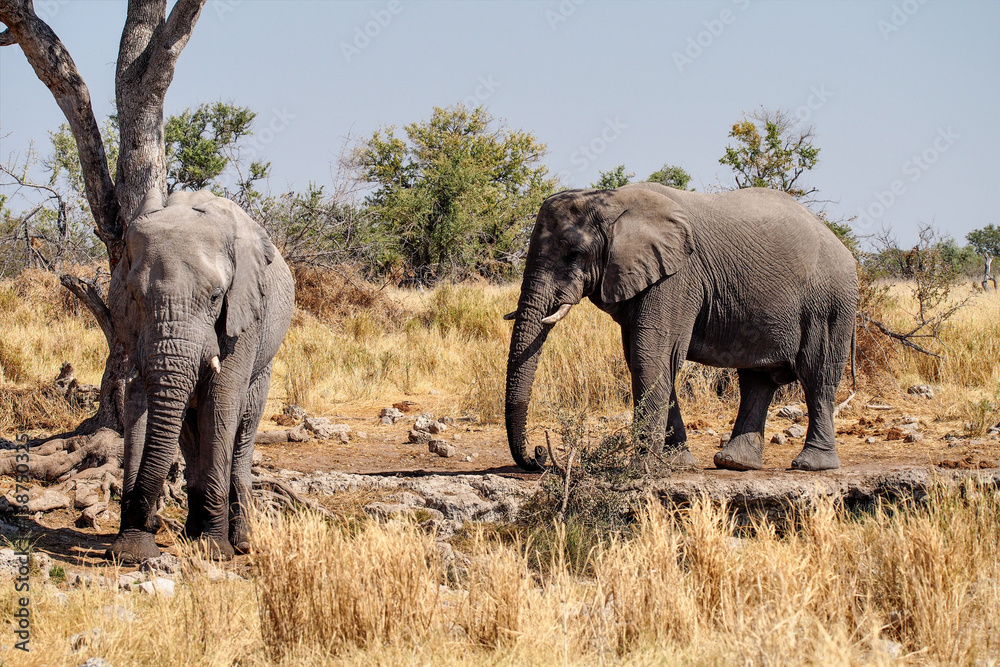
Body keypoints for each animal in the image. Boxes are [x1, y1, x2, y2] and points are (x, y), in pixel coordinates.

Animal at [105, 189, 294, 562]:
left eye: (216, 297)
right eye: (134, 296)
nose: (153, 521)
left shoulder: (244, 316)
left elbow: (220, 404)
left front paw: (215, 552)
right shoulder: (132, 329)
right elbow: (138, 405)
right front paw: (130, 553)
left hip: (264, 362)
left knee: (242, 430)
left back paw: (241, 543)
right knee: (189, 436)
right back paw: (192, 534)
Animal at [504, 183, 857, 473]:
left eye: (574, 254)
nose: (538, 454)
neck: (613, 201)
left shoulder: (677, 277)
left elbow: (651, 355)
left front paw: (642, 470)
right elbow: (645, 359)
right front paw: (678, 464)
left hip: (829, 302)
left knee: (817, 376)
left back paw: (811, 465)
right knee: (757, 381)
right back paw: (735, 463)